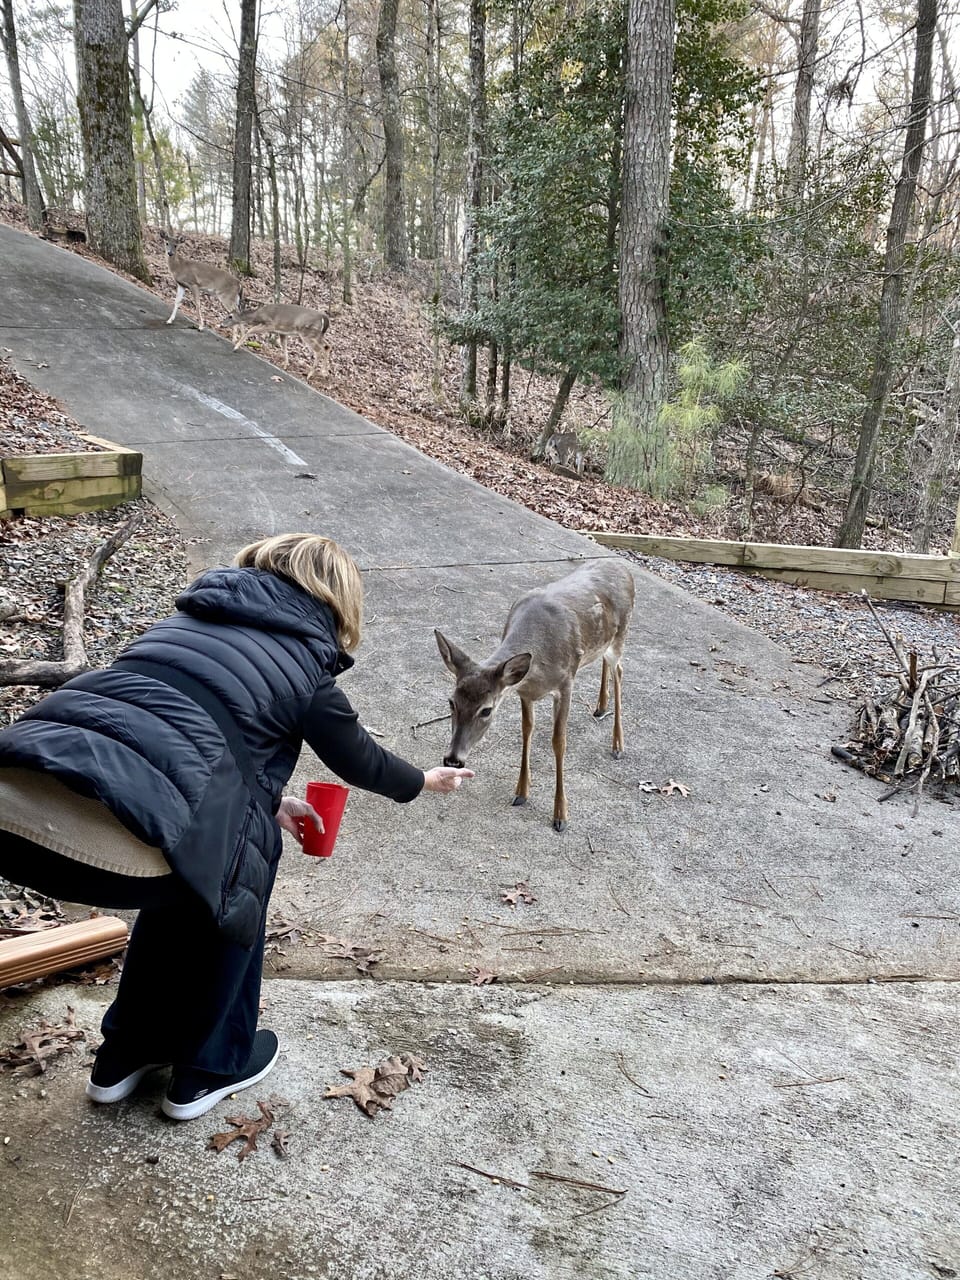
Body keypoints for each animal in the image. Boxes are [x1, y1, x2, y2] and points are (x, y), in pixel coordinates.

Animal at [434, 558, 635, 832]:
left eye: (486, 710)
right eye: (451, 702)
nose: (453, 760)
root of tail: (623, 566)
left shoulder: (566, 683)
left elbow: (559, 742)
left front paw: (560, 814)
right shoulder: (525, 692)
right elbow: (526, 731)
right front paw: (521, 792)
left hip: (621, 634)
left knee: (620, 670)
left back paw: (617, 745)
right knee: (605, 662)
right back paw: (601, 707)